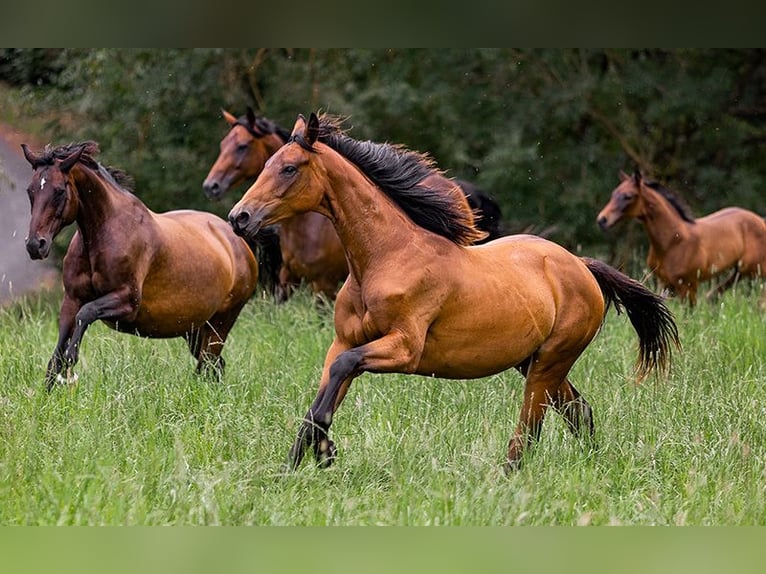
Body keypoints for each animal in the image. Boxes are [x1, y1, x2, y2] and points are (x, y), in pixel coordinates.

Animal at [21, 141, 259, 390]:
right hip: (194, 330)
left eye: (59, 191)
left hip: (219, 325)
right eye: (30, 191)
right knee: (214, 365)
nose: (35, 245)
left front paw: (72, 358)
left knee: (209, 364)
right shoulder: (71, 300)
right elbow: (56, 357)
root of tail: (238, 243)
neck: (103, 233)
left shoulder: (127, 302)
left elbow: (85, 315)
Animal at [203, 107, 503, 300]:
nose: (239, 216)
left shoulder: (323, 287)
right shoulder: (286, 283)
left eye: (242, 146)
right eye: (266, 164)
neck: (305, 227)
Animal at [228, 113, 679, 473]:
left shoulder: (403, 349)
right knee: (578, 411)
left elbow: (338, 379)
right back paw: (592, 464)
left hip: (549, 363)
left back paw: (508, 478)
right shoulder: (342, 342)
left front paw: (324, 453)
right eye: (266, 164)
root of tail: (581, 266)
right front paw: (294, 469)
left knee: (530, 429)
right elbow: (321, 396)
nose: (239, 217)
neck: (386, 257)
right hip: (535, 362)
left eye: (289, 168)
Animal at [597, 170, 766, 307]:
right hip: (740, 271)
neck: (672, 241)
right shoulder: (664, 283)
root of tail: (761, 221)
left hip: (754, 270)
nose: (602, 220)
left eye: (628, 196)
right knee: (717, 293)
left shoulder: (688, 285)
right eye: (613, 194)